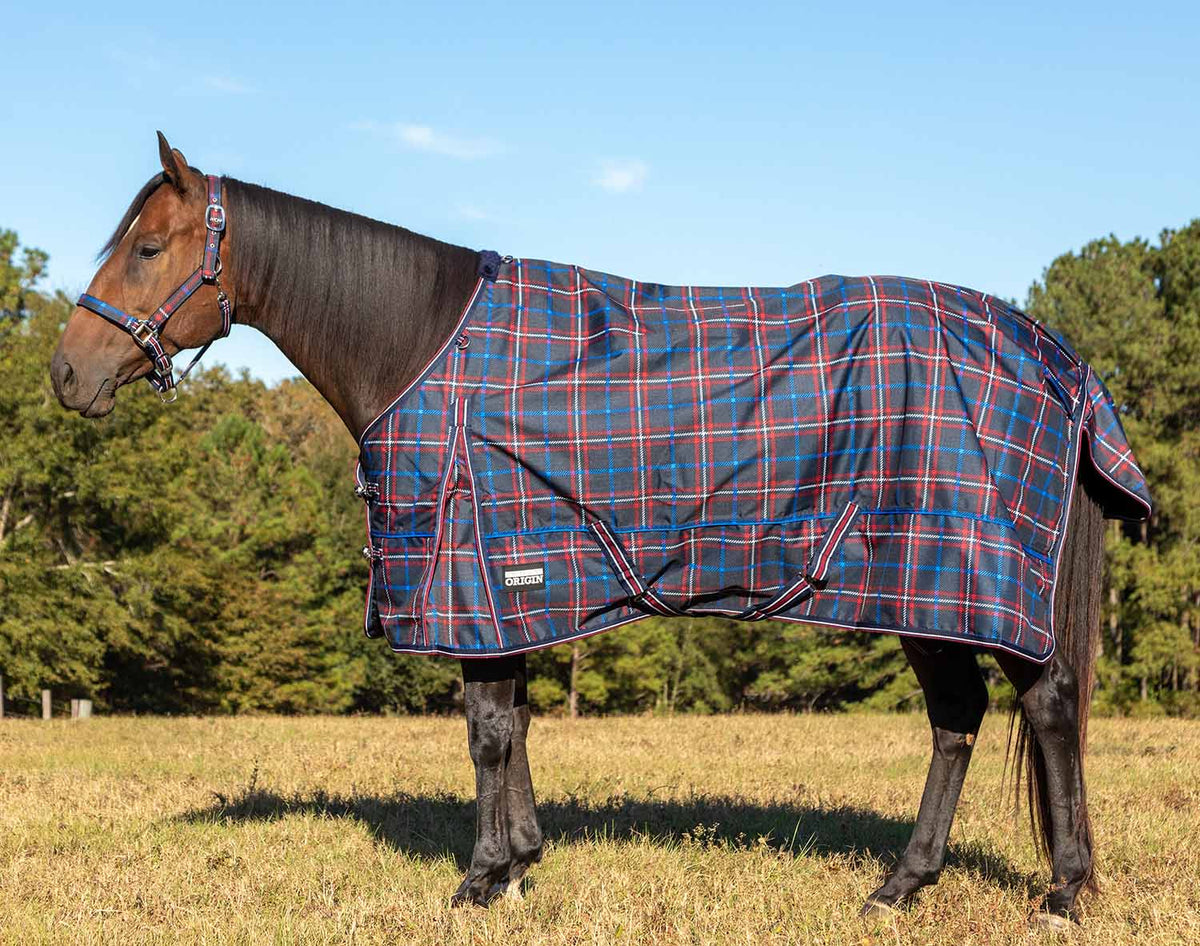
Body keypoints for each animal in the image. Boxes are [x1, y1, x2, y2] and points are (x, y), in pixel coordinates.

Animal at [50, 132, 1143, 929]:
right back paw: (904, 884)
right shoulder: (512, 587)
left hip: (960, 576)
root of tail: (1056, 357)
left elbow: (487, 732)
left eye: (148, 249)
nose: (66, 373)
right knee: (962, 719)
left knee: (1039, 708)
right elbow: (513, 724)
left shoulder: (473, 577)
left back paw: (1060, 890)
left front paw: (481, 878)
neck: (421, 347)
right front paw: (521, 863)